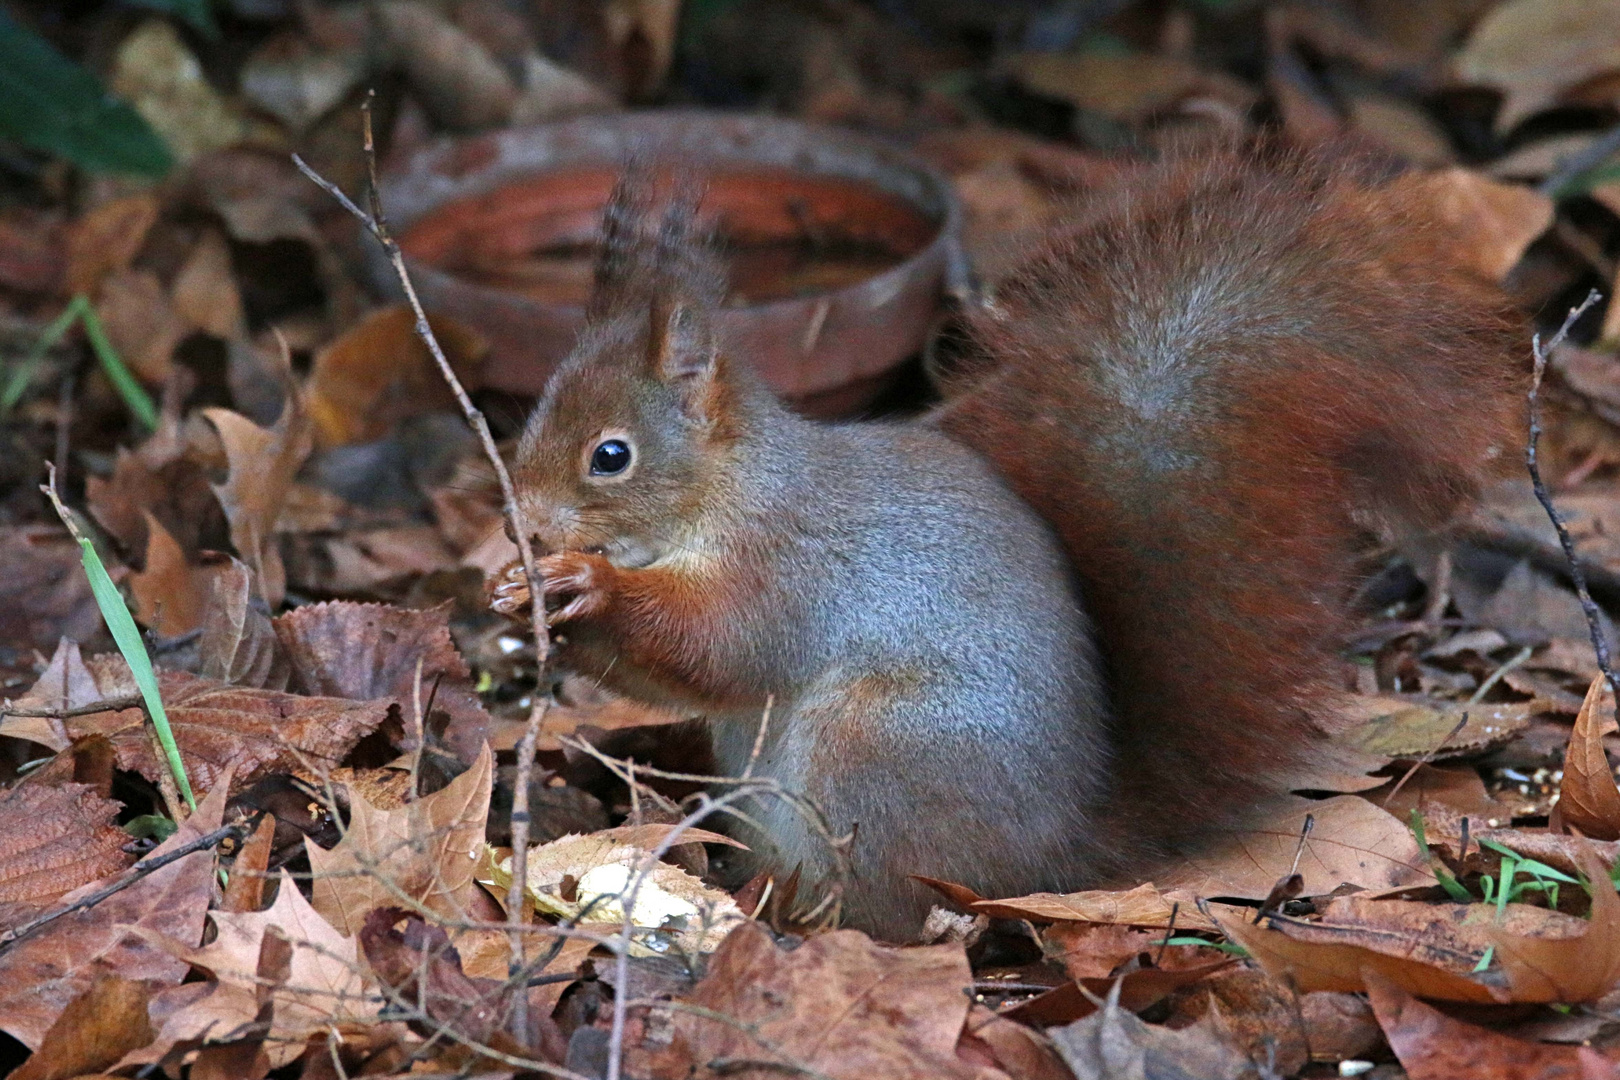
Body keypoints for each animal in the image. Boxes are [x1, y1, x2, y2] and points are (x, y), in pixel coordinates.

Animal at [492, 143, 1516, 939]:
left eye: (611, 456)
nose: (522, 523)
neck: (727, 490)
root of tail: (1054, 853)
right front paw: (518, 589)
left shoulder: (790, 562)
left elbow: (721, 645)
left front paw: (587, 584)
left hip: (880, 750)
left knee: (886, 906)